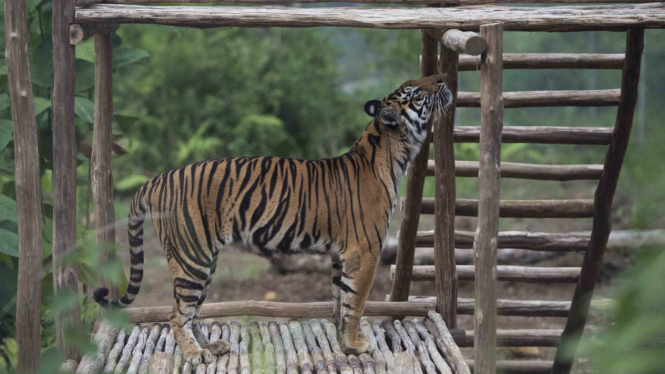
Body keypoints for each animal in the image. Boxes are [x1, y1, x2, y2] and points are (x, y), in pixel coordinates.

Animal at [93, 74, 452, 366]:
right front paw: (356, 344)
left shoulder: (341, 255)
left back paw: (211, 347)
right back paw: (195, 354)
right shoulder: (363, 252)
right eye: (416, 92)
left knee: (192, 311)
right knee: (176, 314)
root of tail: (156, 179)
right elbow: (357, 303)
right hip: (190, 258)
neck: (392, 152)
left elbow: (340, 302)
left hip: (203, 261)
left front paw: (343, 344)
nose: (442, 78)